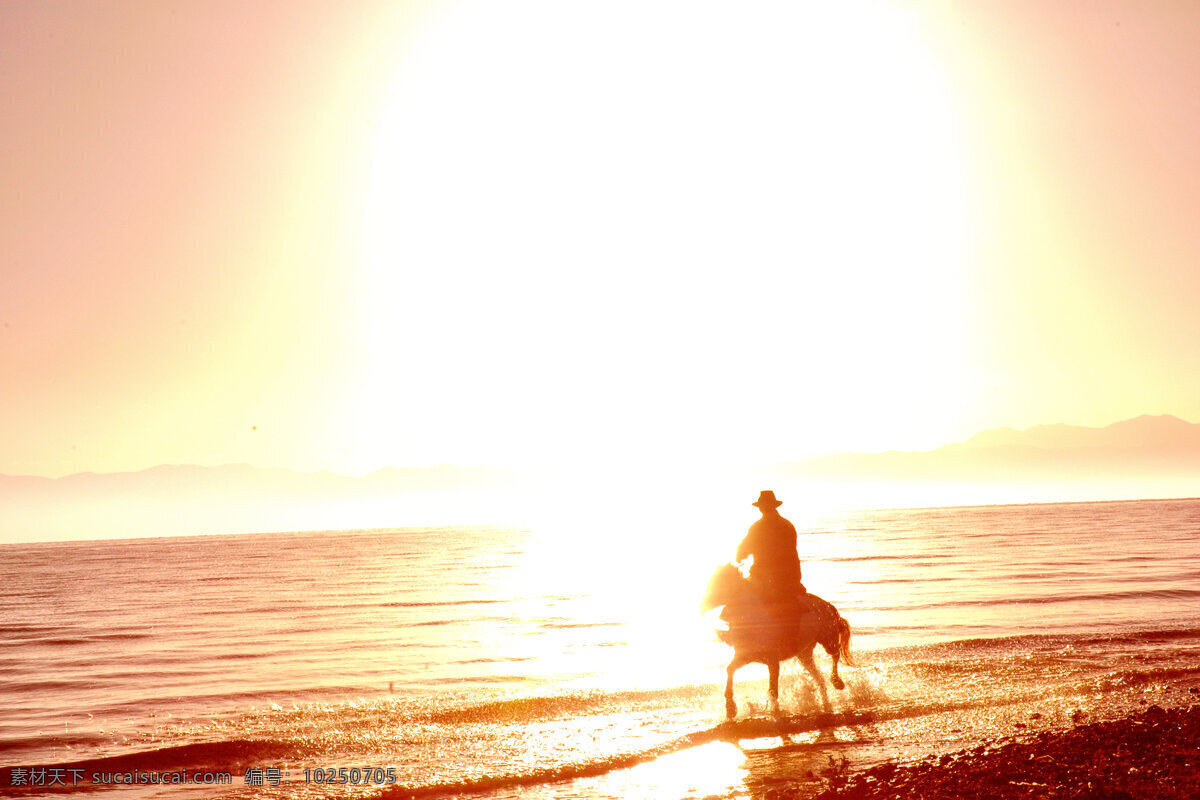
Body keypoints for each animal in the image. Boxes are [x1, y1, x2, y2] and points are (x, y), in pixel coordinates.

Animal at [700, 563, 854, 719]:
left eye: (718, 583)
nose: (702, 606)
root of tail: (828, 605)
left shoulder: (772, 661)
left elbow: (773, 689)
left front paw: (775, 712)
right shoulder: (744, 657)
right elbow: (730, 669)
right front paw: (731, 708)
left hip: (828, 639)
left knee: (835, 654)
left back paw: (837, 682)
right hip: (804, 654)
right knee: (819, 678)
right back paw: (826, 703)